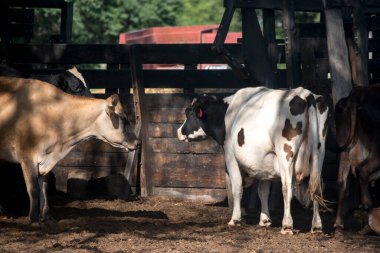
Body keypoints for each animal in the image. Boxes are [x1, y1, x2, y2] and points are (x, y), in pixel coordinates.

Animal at [0, 76, 139, 222]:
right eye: (123, 118)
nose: (137, 142)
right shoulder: (27, 156)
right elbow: (33, 189)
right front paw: (34, 218)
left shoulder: (45, 160)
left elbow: (44, 187)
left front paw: (47, 215)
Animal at [177, 86, 328, 233]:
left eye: (189, 113)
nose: (179, 131)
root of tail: (305, 94)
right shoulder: (265, 163)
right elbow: (263, 191)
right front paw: (265, 220)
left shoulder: (230, 155)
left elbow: (236, 187)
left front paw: (235, 219)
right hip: (319, 154)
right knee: (316, 187)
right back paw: (317, 226)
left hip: (286, 155)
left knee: (287, 188)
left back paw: (287, 225)